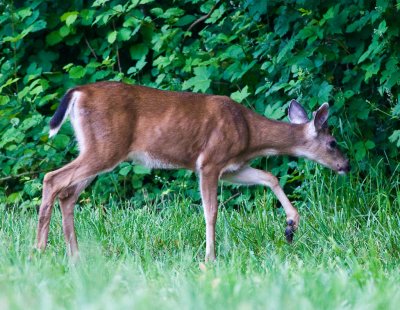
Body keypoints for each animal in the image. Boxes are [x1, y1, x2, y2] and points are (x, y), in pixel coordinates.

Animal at [37, 81, 350, 260]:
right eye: (333, 142)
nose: (346, 165)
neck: (249, 133)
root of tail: (78, 92)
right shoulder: (209, 161)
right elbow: (211, 212)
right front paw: (210, 258)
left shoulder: (233, 167)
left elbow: (269, 176)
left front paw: (291, 226)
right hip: (106, 147)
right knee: (52, 179)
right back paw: (40, 250)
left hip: (97, 148)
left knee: (67, 193)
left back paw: (75, 256)